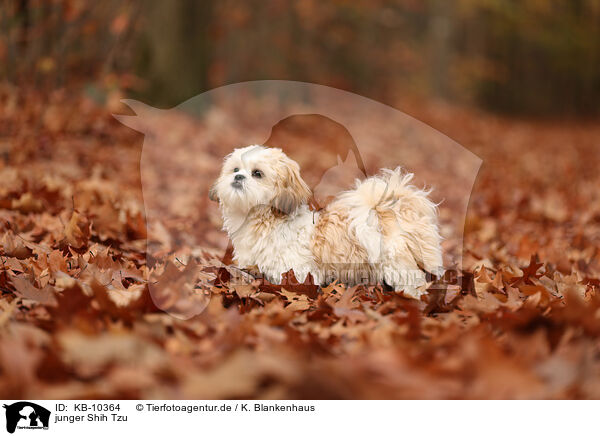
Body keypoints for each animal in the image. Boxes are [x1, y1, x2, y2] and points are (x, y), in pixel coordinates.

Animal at [209, 145, 442, 298]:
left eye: (257, 173)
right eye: (235, 169)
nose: (238, 177)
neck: (267, 220)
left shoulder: (298, 271)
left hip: (400, 266)